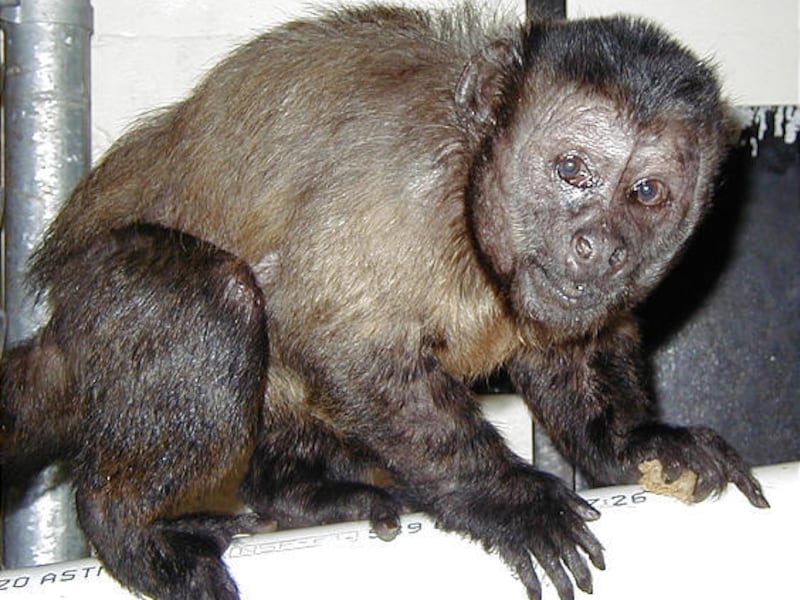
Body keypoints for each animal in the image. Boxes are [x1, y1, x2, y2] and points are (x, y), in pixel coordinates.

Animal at [1, 4, 769, 600]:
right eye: (572, 170)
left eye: (646, 193)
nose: (601, 244)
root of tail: (60, 324)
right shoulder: (405, 188)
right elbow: (336, 333)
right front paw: (506, 498)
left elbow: (572, 349)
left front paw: (636, 444)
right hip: (99, 296)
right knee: (217, 297)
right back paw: (127, 529)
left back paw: (300, 495)